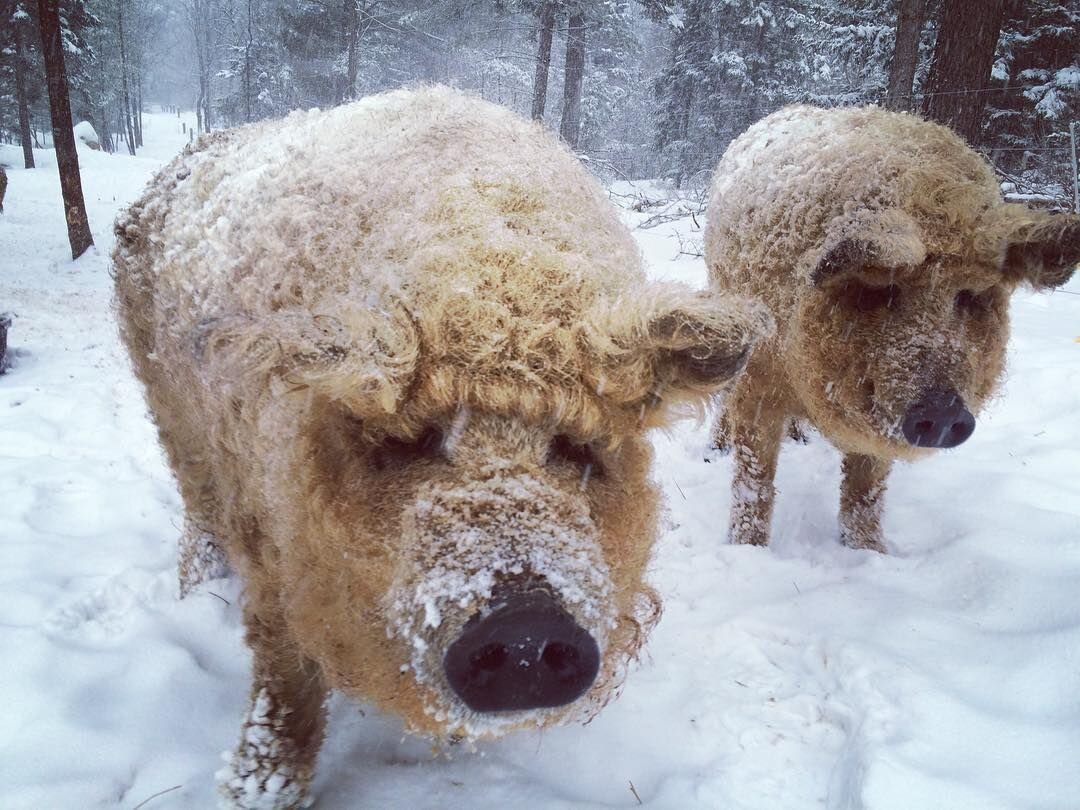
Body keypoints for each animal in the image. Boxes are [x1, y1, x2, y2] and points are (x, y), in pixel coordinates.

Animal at [113, 85, 768, 807]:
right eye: (415, 439)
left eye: (574, 444)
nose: (523, 628)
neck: (483, 267)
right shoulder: (271, 553)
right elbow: (285, 693)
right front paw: (254, 792)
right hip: (172, 416)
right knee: (198, 509)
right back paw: (196, 590)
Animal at [708, 106, 1080, 552]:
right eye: (886, 290)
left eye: (968, 296)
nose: (943, 413)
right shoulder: (761, 378)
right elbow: (755, 476)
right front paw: (746, 548)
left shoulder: (879, 424)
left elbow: (866, 488)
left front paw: (870, 552)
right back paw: (715, 449)